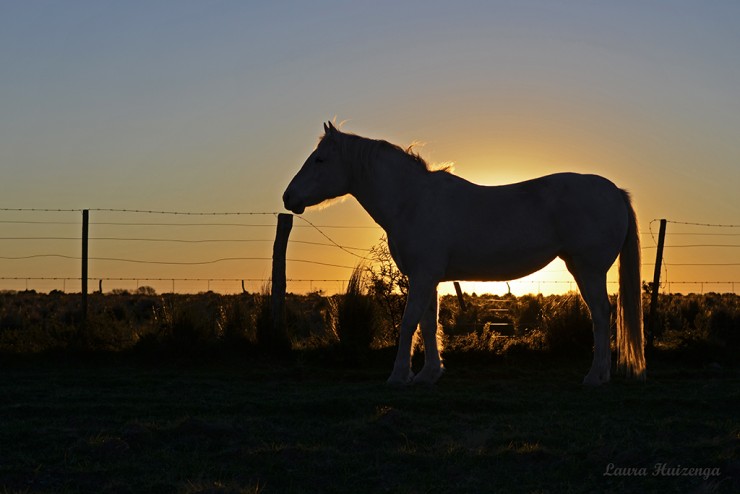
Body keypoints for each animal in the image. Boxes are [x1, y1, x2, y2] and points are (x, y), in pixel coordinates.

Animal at [286, 123, 644, 386]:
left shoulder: (422, 276)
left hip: (588, 269)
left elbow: (409, 323)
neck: (412, 200)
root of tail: (615, 192)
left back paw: (595, 377)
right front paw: (428, 374)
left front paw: (398, 376)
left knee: (601, 314)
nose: (288, 197)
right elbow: (428, 323)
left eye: (320, 160)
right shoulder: (429, 278)